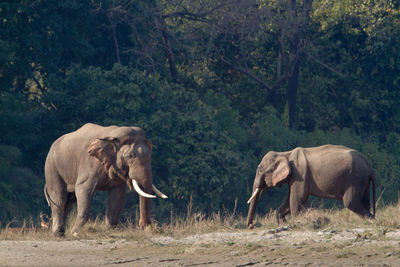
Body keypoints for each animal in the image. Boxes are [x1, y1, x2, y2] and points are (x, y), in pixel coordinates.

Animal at [247, 144, 376, 228]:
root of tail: (370, 167)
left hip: (355, 179)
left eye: (260, 170)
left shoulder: (300, 174)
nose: (251, 226)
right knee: (364, 201)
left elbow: (298, 200)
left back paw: (371, 221)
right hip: (363, 182)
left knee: (350, 202)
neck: (285, 154)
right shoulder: (294, 177)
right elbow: (289, 201)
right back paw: (370, 220)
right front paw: (283, 223)